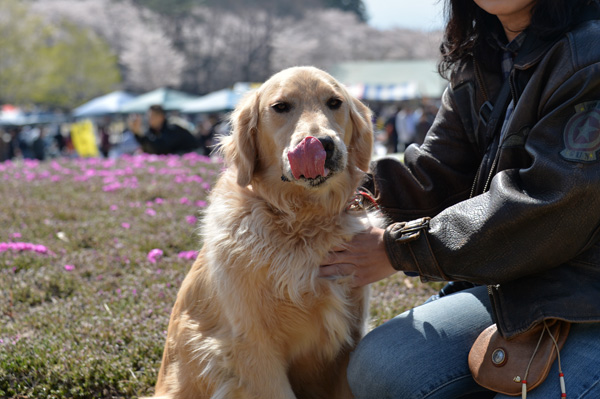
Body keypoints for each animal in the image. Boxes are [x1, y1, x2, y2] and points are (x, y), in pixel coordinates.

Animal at [152, 66, 382, 399]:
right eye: (281, 106)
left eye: (335, 102)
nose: (322, 143)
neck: (302, 221)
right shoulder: (254, 351)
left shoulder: (350, 336)